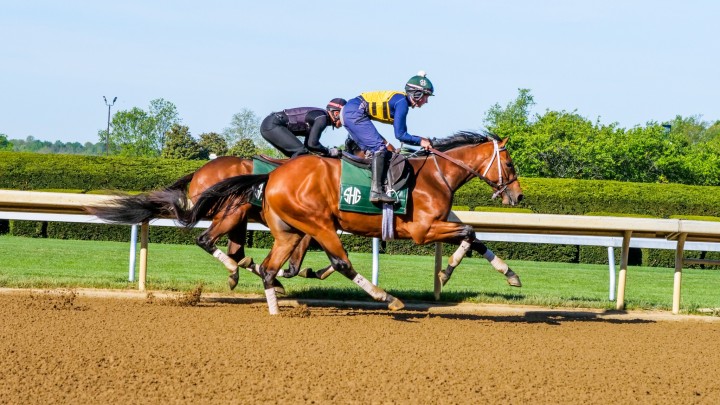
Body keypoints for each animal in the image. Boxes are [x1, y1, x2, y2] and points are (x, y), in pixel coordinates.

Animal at [185, 131, 524, 314]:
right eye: (509, 163)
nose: (518, 196)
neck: (435, 176)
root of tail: (272, 176)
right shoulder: (424, 230)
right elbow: (469, 232)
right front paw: (446, 272)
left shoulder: (438, 224)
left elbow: (474, 237)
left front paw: (510, 274)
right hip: (294, 220)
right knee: (340, 262)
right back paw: (386, 297)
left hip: (285, 228)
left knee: (261, 263)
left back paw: (267, 296)